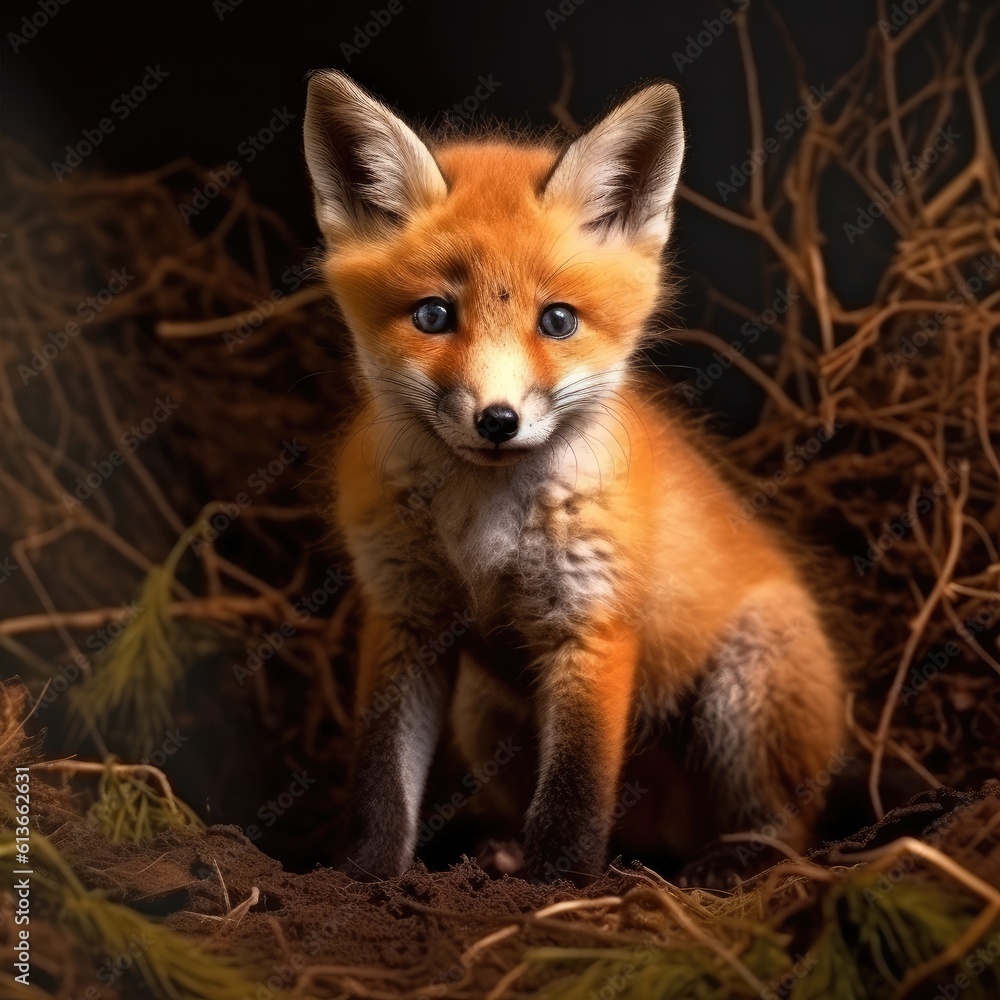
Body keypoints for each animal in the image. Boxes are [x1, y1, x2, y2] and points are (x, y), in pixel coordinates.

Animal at [302, 70, 846, 884]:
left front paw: (556, 887)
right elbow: (380, 780)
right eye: (433, 316)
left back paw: (736, 861)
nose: (497, 419)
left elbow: (578, 788)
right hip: (484, 712)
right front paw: (366, 878)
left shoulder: (589, 622)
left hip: (743, 688)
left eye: (557, 321)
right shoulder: (406, 617)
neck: (485, 521)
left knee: (790, 825)